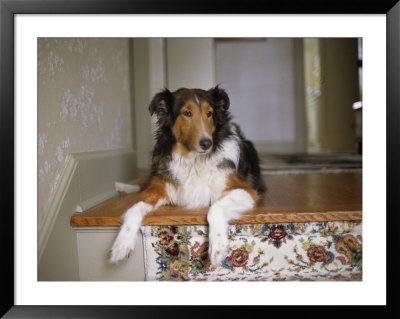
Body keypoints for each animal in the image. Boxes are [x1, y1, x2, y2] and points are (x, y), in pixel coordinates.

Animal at [110, 87, 266, 268]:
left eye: (209, 113)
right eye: (187, 113)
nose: (207, 144)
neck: (193, 161)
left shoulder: (245, 191)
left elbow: (215, 208)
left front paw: (218, 247)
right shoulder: (161, 187)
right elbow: (133, 209)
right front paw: (121, 244)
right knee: (145, 182)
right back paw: (123, 186)